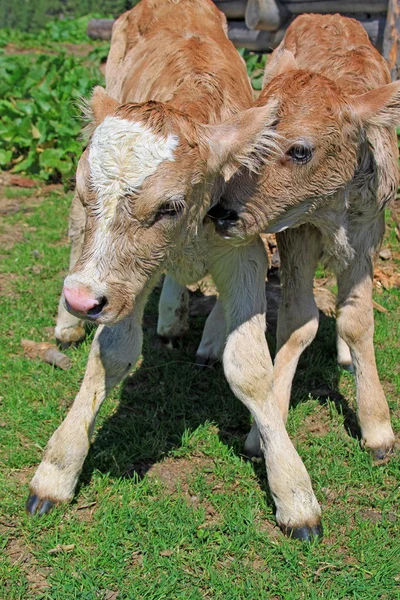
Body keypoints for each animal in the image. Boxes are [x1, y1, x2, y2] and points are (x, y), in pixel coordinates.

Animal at [26, 0, 324, 540]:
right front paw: (57, 469)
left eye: (168, 206)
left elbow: (251, 370)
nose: (81, 299)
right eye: (84, 189)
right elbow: (112, 353)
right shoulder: (119, 282)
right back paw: (69, 325)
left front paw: (293, 489)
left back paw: (178, 320)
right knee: (77, 237)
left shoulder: (243, 251)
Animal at [214, 12, 398, 464]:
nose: (223, 212)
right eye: (252, 134)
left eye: (299, 150)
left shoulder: (369, 231)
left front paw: (378, 428)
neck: (331, 208)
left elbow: (357, 320)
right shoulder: (296, 233)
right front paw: (260, 433)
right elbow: (298, 320)